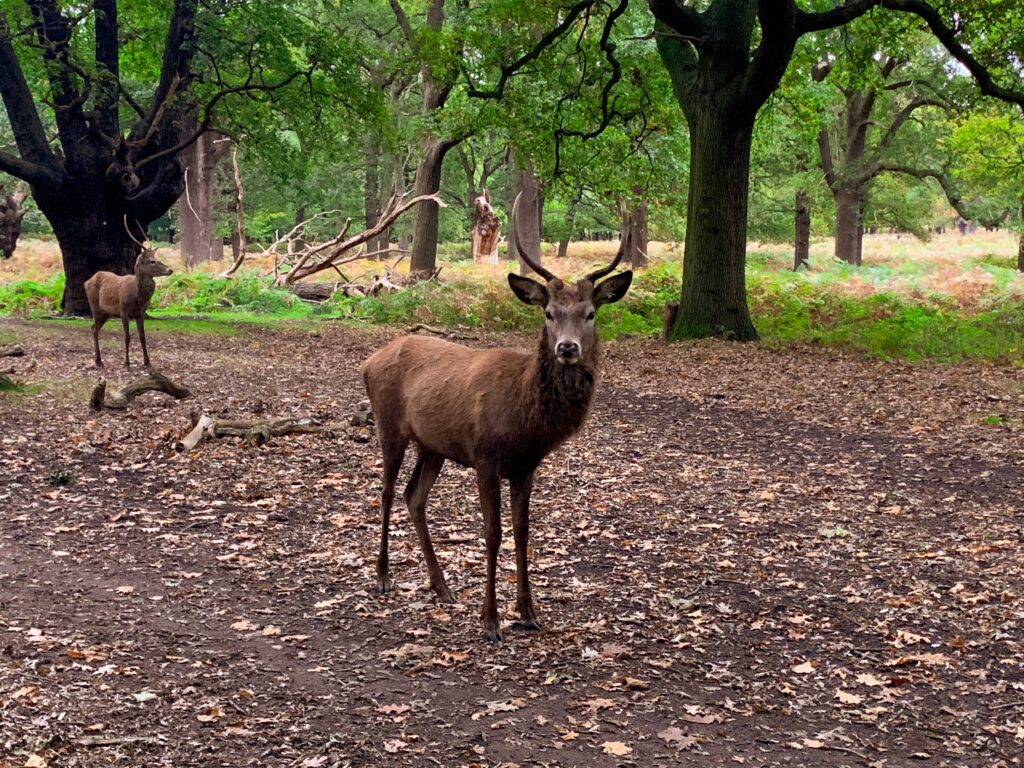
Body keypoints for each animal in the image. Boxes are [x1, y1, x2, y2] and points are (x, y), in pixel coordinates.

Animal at [85, 221, 172, 368]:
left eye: (156, 258)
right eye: (152, 261)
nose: (170, 269)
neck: (137, 297)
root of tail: (86, 282)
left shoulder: (140, 313)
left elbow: (142, 336)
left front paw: (147, 362)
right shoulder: (123, 311)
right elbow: (127, 337)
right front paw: (126, 363)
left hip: (106, 313)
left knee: (92, 328)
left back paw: (98, 360)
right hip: (95, 307)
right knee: (95, 329)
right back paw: (99, 361)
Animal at [360, 192, 630, 643]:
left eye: (591, 313)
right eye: (549, 313)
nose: (567, 348)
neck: (525, 420)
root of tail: (367, 363)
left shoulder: (525, 466)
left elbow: (522, 533)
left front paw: (528, 612)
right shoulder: (484, 456)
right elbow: (493, 533)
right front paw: (490, 620)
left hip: (433, 446)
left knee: (415, 496)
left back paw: (441, 586)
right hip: (389, 425)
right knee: (385, 491)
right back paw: (382, 577)